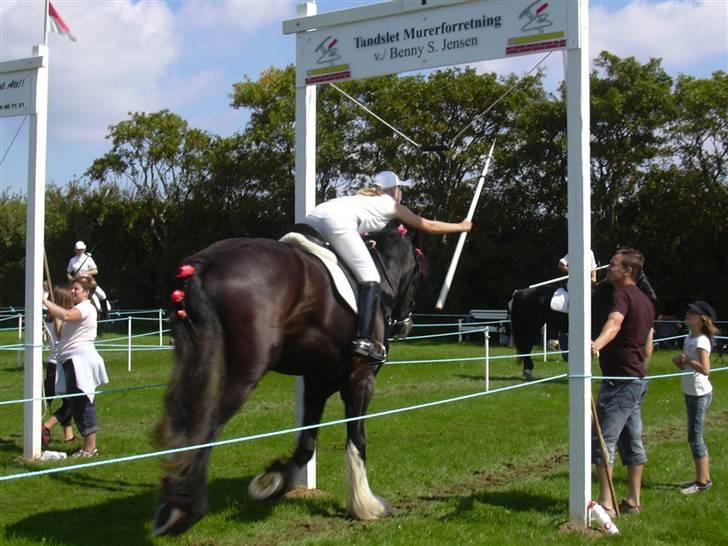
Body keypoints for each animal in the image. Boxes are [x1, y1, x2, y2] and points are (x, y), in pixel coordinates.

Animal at [152, 223, 420, 532]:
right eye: (417, 273)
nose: (405, 325)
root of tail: (208, 260)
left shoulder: (317, 384)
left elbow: (306, 445)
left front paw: (270, 482)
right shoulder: (360, 382)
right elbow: (356, 440)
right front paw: (365, 505)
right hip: (245, 375)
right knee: (207, 427)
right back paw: (186, 509)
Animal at [510, 274, 656, 376]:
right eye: (641, 278)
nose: (653, 296)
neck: (601, 296)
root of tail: (520, 292)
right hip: (531, 327)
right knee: (527, 347)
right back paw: (528, 372)